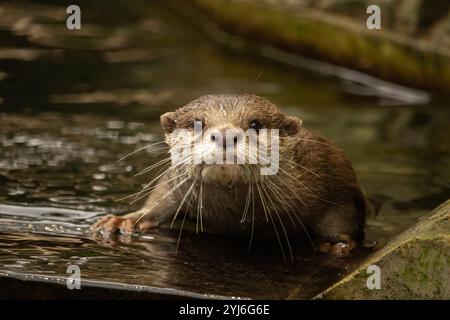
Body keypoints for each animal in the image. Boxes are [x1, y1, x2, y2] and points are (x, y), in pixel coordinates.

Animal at [93, 95, 370, 258]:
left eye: (256, 124)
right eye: (197, 123)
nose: (225, 135)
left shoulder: (333, 176)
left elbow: (340, 217)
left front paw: (336, 245)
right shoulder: (177, 184)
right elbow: (161, 198)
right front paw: (124, 220)